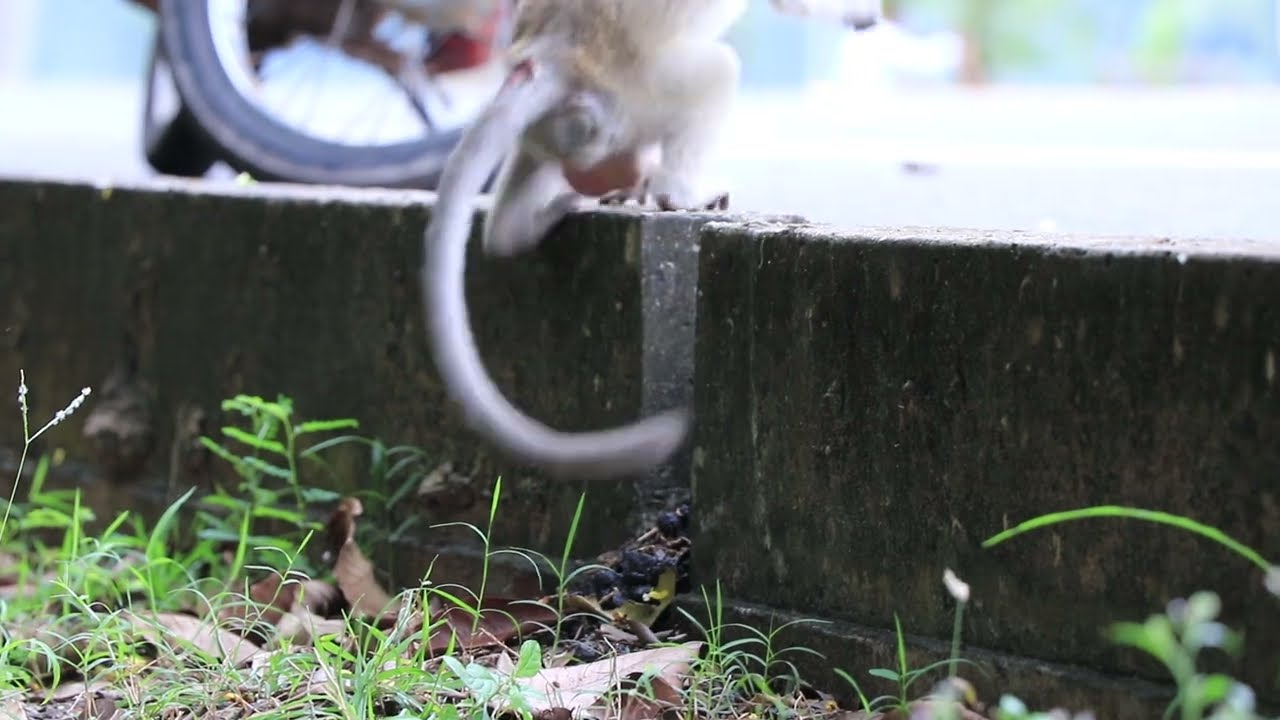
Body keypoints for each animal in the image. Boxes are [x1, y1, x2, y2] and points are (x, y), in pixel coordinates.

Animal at [420, 0, 745, 479]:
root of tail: (543, 55)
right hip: (636, 97)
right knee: (718, 77)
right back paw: (678, 195)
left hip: (550, 132)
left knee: (507, 222)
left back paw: (527, 223)